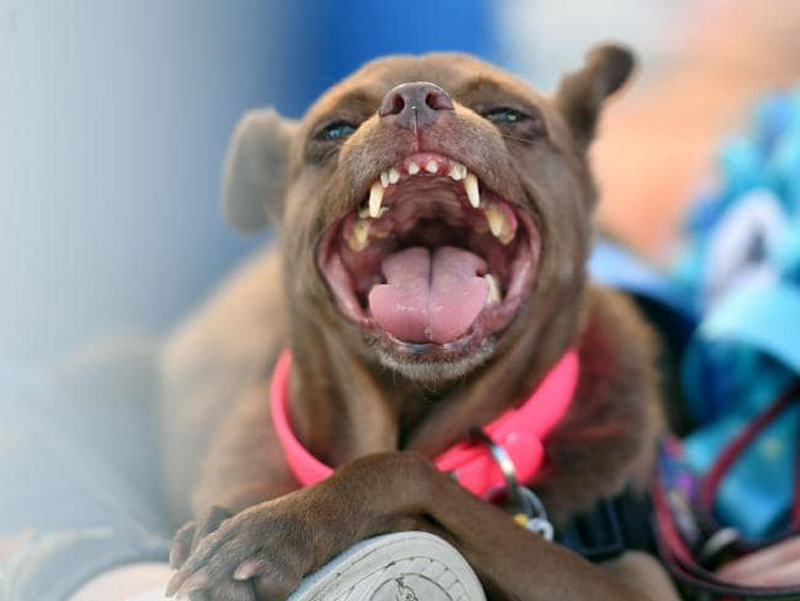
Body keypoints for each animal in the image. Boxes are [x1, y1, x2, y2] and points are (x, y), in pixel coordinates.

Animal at [161, 44, 676, 596]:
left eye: (509, 115)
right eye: (334, 129)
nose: (413, 100)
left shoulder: (635, 585)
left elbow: (402, 473)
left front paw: (278, 526)